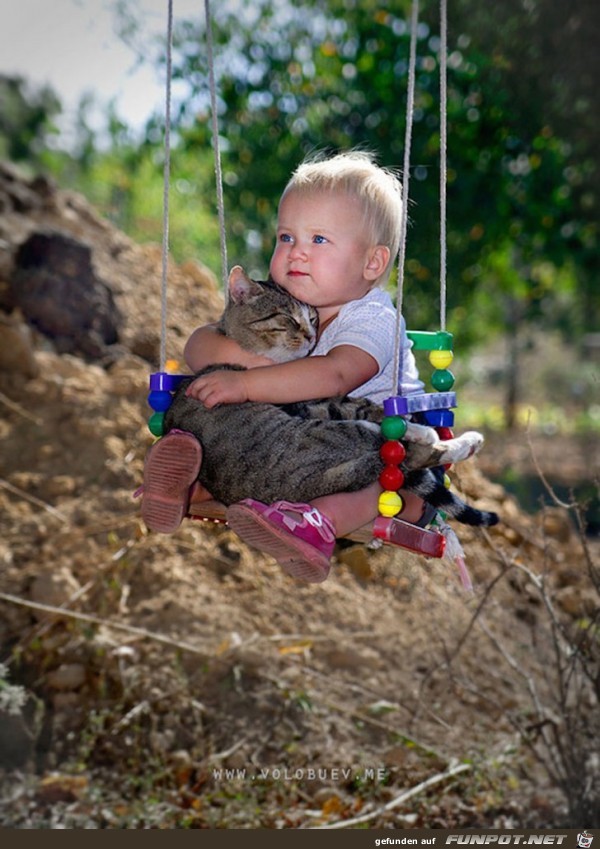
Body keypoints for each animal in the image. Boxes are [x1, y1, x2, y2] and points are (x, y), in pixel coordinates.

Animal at [163, 268, 496, 528]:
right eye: (287, 318)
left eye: (312, 318)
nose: (312, 336)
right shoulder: (311, 404)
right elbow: (364, 409)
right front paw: (417, 428)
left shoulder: (316, 401)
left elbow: (363, 406)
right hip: (328, 435)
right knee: (405, 452)